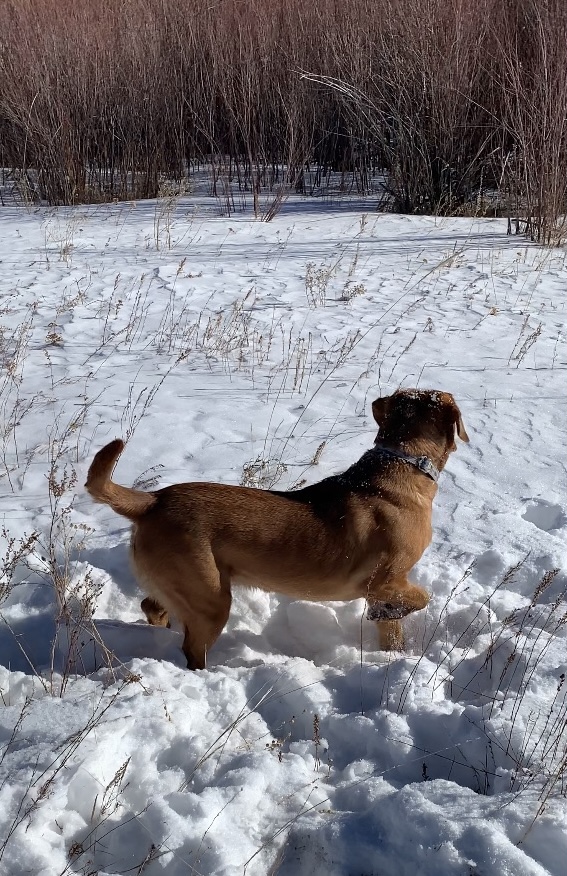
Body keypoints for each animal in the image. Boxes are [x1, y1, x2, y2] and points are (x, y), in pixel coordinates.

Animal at [84, 386, 468, 668]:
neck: (404, 460)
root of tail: (152, 501)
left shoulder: (388, 587)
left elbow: (392, 631)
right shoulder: (386, 580)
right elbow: (422, 597)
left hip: (182, 586)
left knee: (153, 607)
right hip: (211, 597)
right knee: (192, 650)